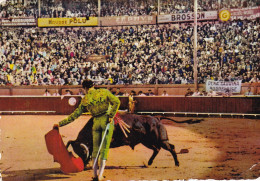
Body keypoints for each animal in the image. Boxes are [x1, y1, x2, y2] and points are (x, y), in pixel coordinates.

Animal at [66, 111, 197, 168]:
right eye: (76, 152)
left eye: (82, 151)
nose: (83, 165)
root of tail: (157, 118)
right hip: (147, 142)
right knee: (157, 149)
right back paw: (149, 163)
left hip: (160, 140)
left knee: (171, 148)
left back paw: (177, 163)